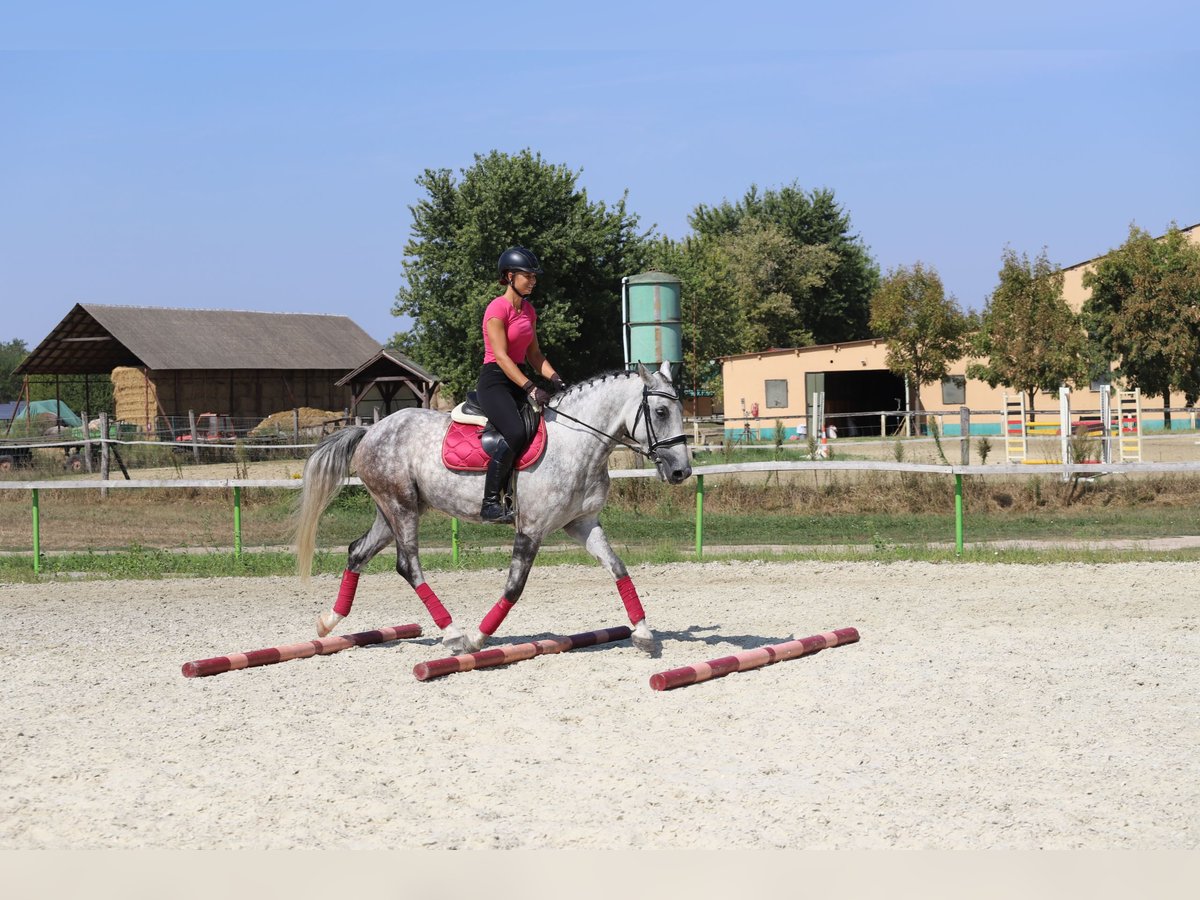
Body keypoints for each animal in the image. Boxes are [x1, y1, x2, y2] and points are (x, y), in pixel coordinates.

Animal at [295, 362, 696, 657]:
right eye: (661, 411)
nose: (681, 471)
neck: (576, 442)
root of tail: (372, 429)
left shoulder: (582, 524)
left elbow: (618, 568)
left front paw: (643, 633)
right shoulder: (530, 529)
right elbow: (514, 588)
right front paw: (477, 639)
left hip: (392, 510)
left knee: (357, 552)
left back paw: (328, 623)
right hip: (401, 507)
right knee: (408, 565)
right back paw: (453, 633)